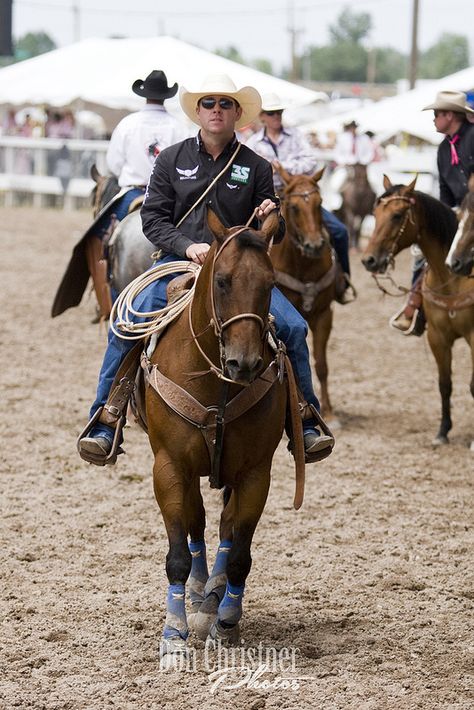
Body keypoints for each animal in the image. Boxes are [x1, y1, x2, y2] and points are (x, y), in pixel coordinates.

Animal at [143, 209, 292, 672]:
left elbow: (241, 553)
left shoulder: (255, 472)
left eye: (270, 283)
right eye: (223, 280)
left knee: (224, 527)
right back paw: (198, 590)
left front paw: (226, 622)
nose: (244, 363)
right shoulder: (169, 466)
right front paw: (173, 636)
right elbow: (177, 552)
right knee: (196, 522)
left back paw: (212, 598)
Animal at [270, 167, 336, 422]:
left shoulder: (324, 314)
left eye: (320, 203)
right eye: (294, 207)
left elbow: (322, 364)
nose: (315, 245)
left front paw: (329, 412)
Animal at [362, 175, 472, 448]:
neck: (453, 277)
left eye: (397, 215)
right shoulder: (437, 338)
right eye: (375, 213)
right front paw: (442, 432)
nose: (369, 260)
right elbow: (445, 384)